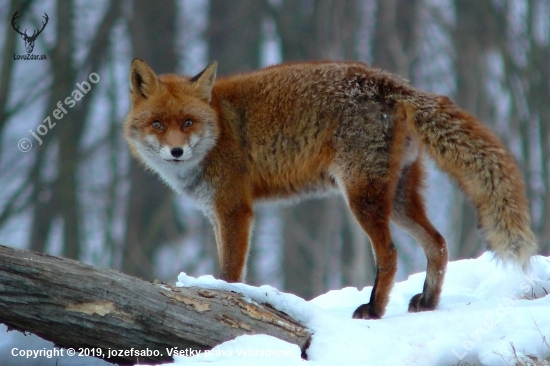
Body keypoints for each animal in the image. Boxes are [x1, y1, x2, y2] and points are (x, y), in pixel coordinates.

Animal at [125, 58, 540, 318]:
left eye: (188, 122)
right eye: (158, 124)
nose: (176, 151)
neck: (219, 129)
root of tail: (390, 82)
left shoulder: (234, 210)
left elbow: (229, 273)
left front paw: (225, 303)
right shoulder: (217, 214)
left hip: (361, 198)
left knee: (389, 254)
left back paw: (375, 310)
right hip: (398, 200)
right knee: (437, 243)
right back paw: (428, 300)